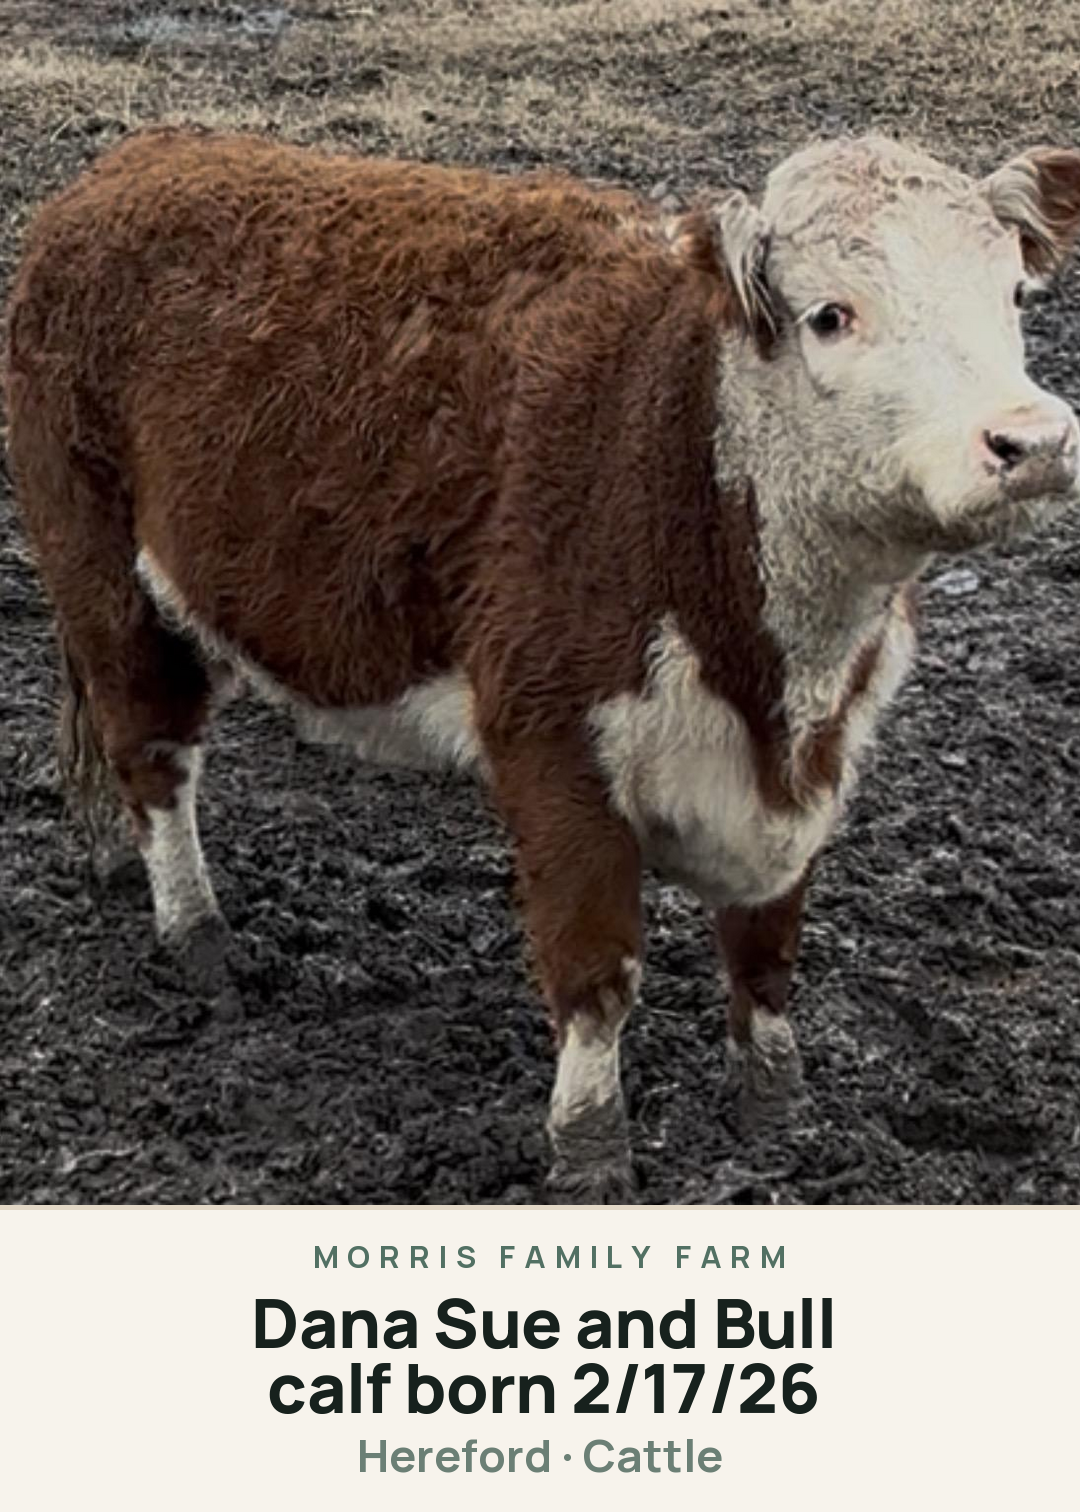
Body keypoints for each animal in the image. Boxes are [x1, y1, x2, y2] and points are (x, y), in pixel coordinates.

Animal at [5, 129, 1080, 1201]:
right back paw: (197, 935)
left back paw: (112, 856)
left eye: (1014, 295)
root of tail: (137, 161)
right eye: (831, 314)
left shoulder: (810, 765)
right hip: (102, 571)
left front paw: (777, 1110)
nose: (1032, 441)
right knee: (153, 753)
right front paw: (591, 1147)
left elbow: (766, 953)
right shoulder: (551, 742)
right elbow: (597, 974)